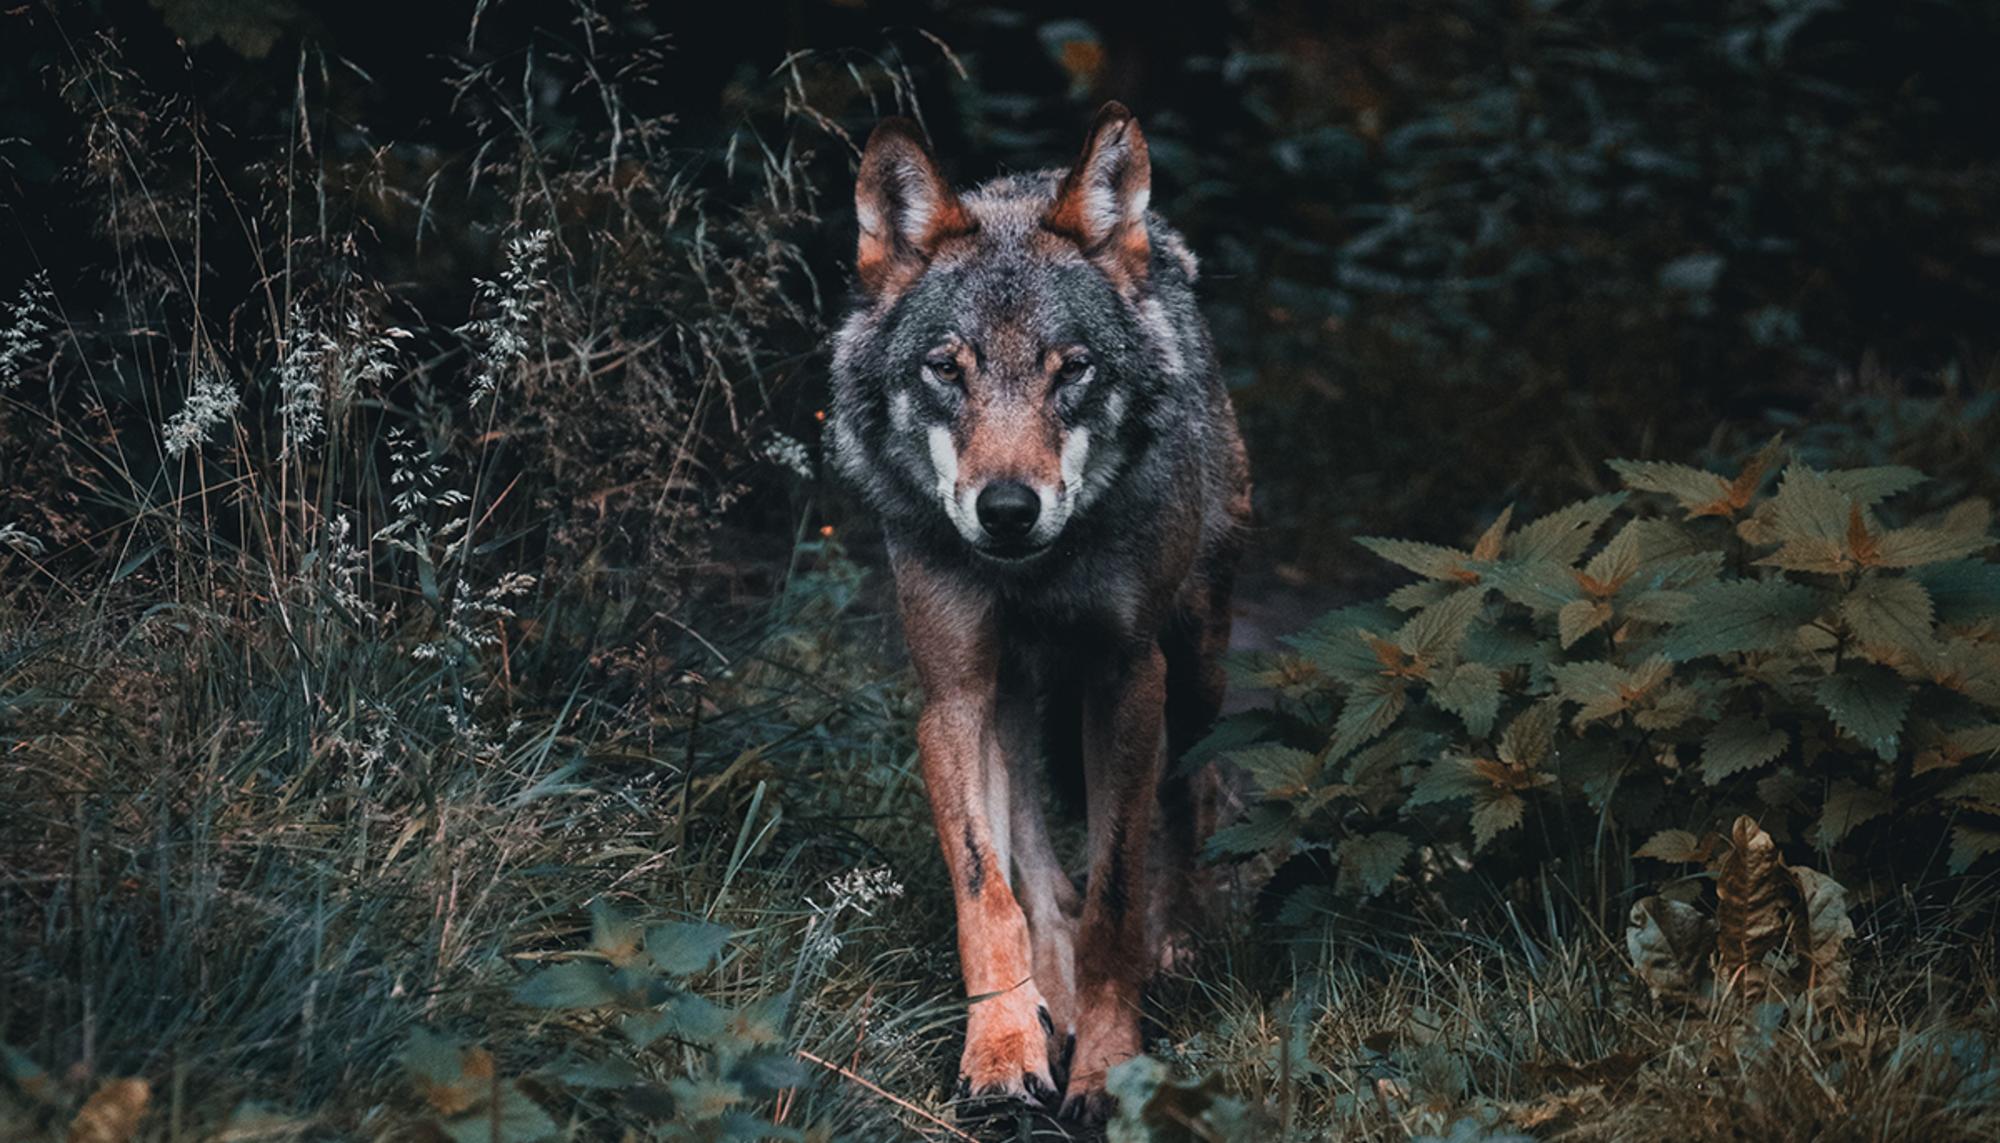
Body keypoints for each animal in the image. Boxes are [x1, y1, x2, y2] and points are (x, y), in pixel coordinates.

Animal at [827, 103, 1250, 1120]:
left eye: (1074, 371)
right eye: (947, 369)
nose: (1009, 509)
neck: (1035, 575)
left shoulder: (1128, 677)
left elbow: (1115, 894)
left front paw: (1108, 1062)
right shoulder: (952, 696)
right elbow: (991, 893)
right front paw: (1003, 1050)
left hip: (1199, 667)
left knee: (1189, 795)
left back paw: (1174, 946)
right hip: (1013, 700)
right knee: (1036, 866)